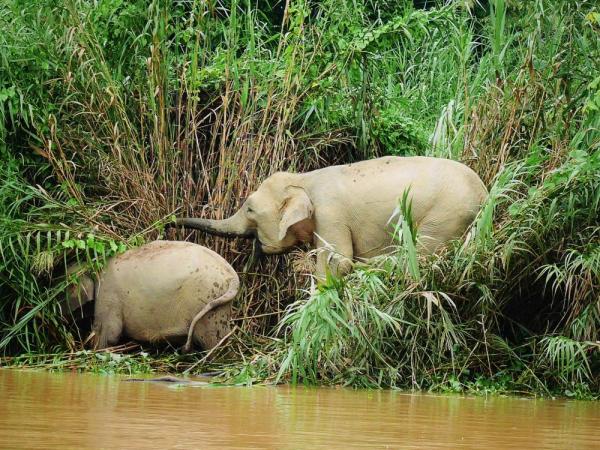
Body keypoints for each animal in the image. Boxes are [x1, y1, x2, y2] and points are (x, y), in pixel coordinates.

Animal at [173, 156, 488, 280]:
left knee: (421, 258)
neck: (303, 178)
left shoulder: (330, 213)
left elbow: (338, 262)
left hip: (444, 217)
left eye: (249, 209)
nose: (171, 221)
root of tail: (486, 194)